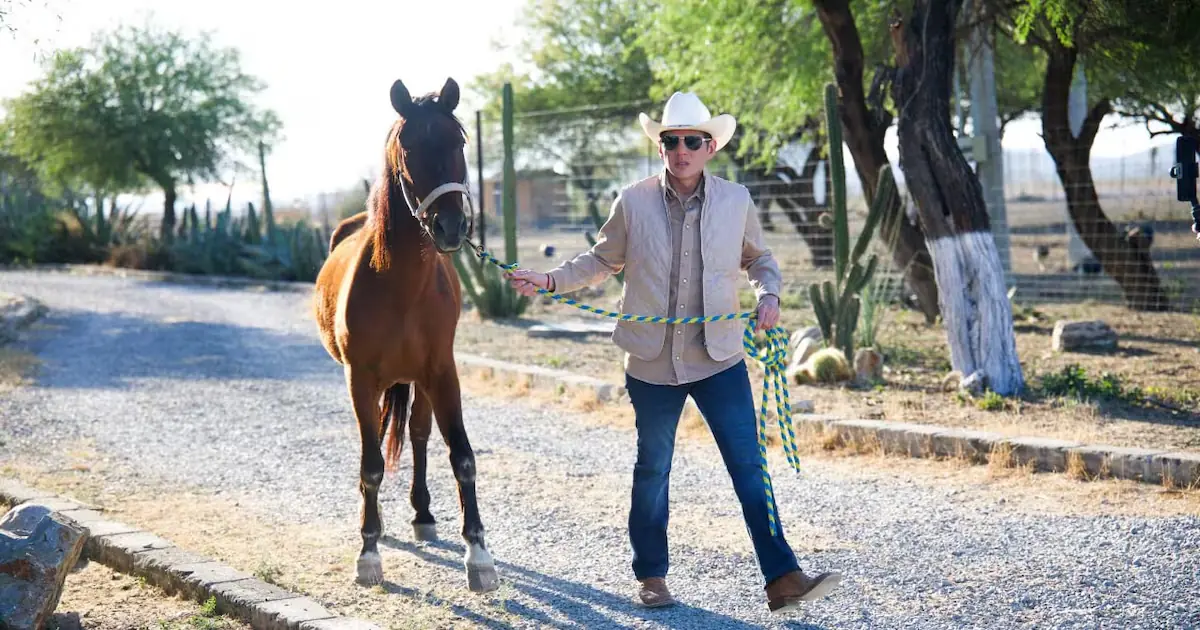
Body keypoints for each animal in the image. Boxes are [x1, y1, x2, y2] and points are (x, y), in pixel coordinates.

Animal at [313, 76, 497, 593]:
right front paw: (368, 553)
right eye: (409, 147)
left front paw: (479, 556)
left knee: (417, 434)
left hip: (419, 381)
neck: (401, 286)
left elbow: (462, 457)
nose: (451, 226)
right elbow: (371, 464)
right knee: (376, 442)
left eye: (458, 142)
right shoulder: (360, 378)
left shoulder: (442, 373)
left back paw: (423, 514)